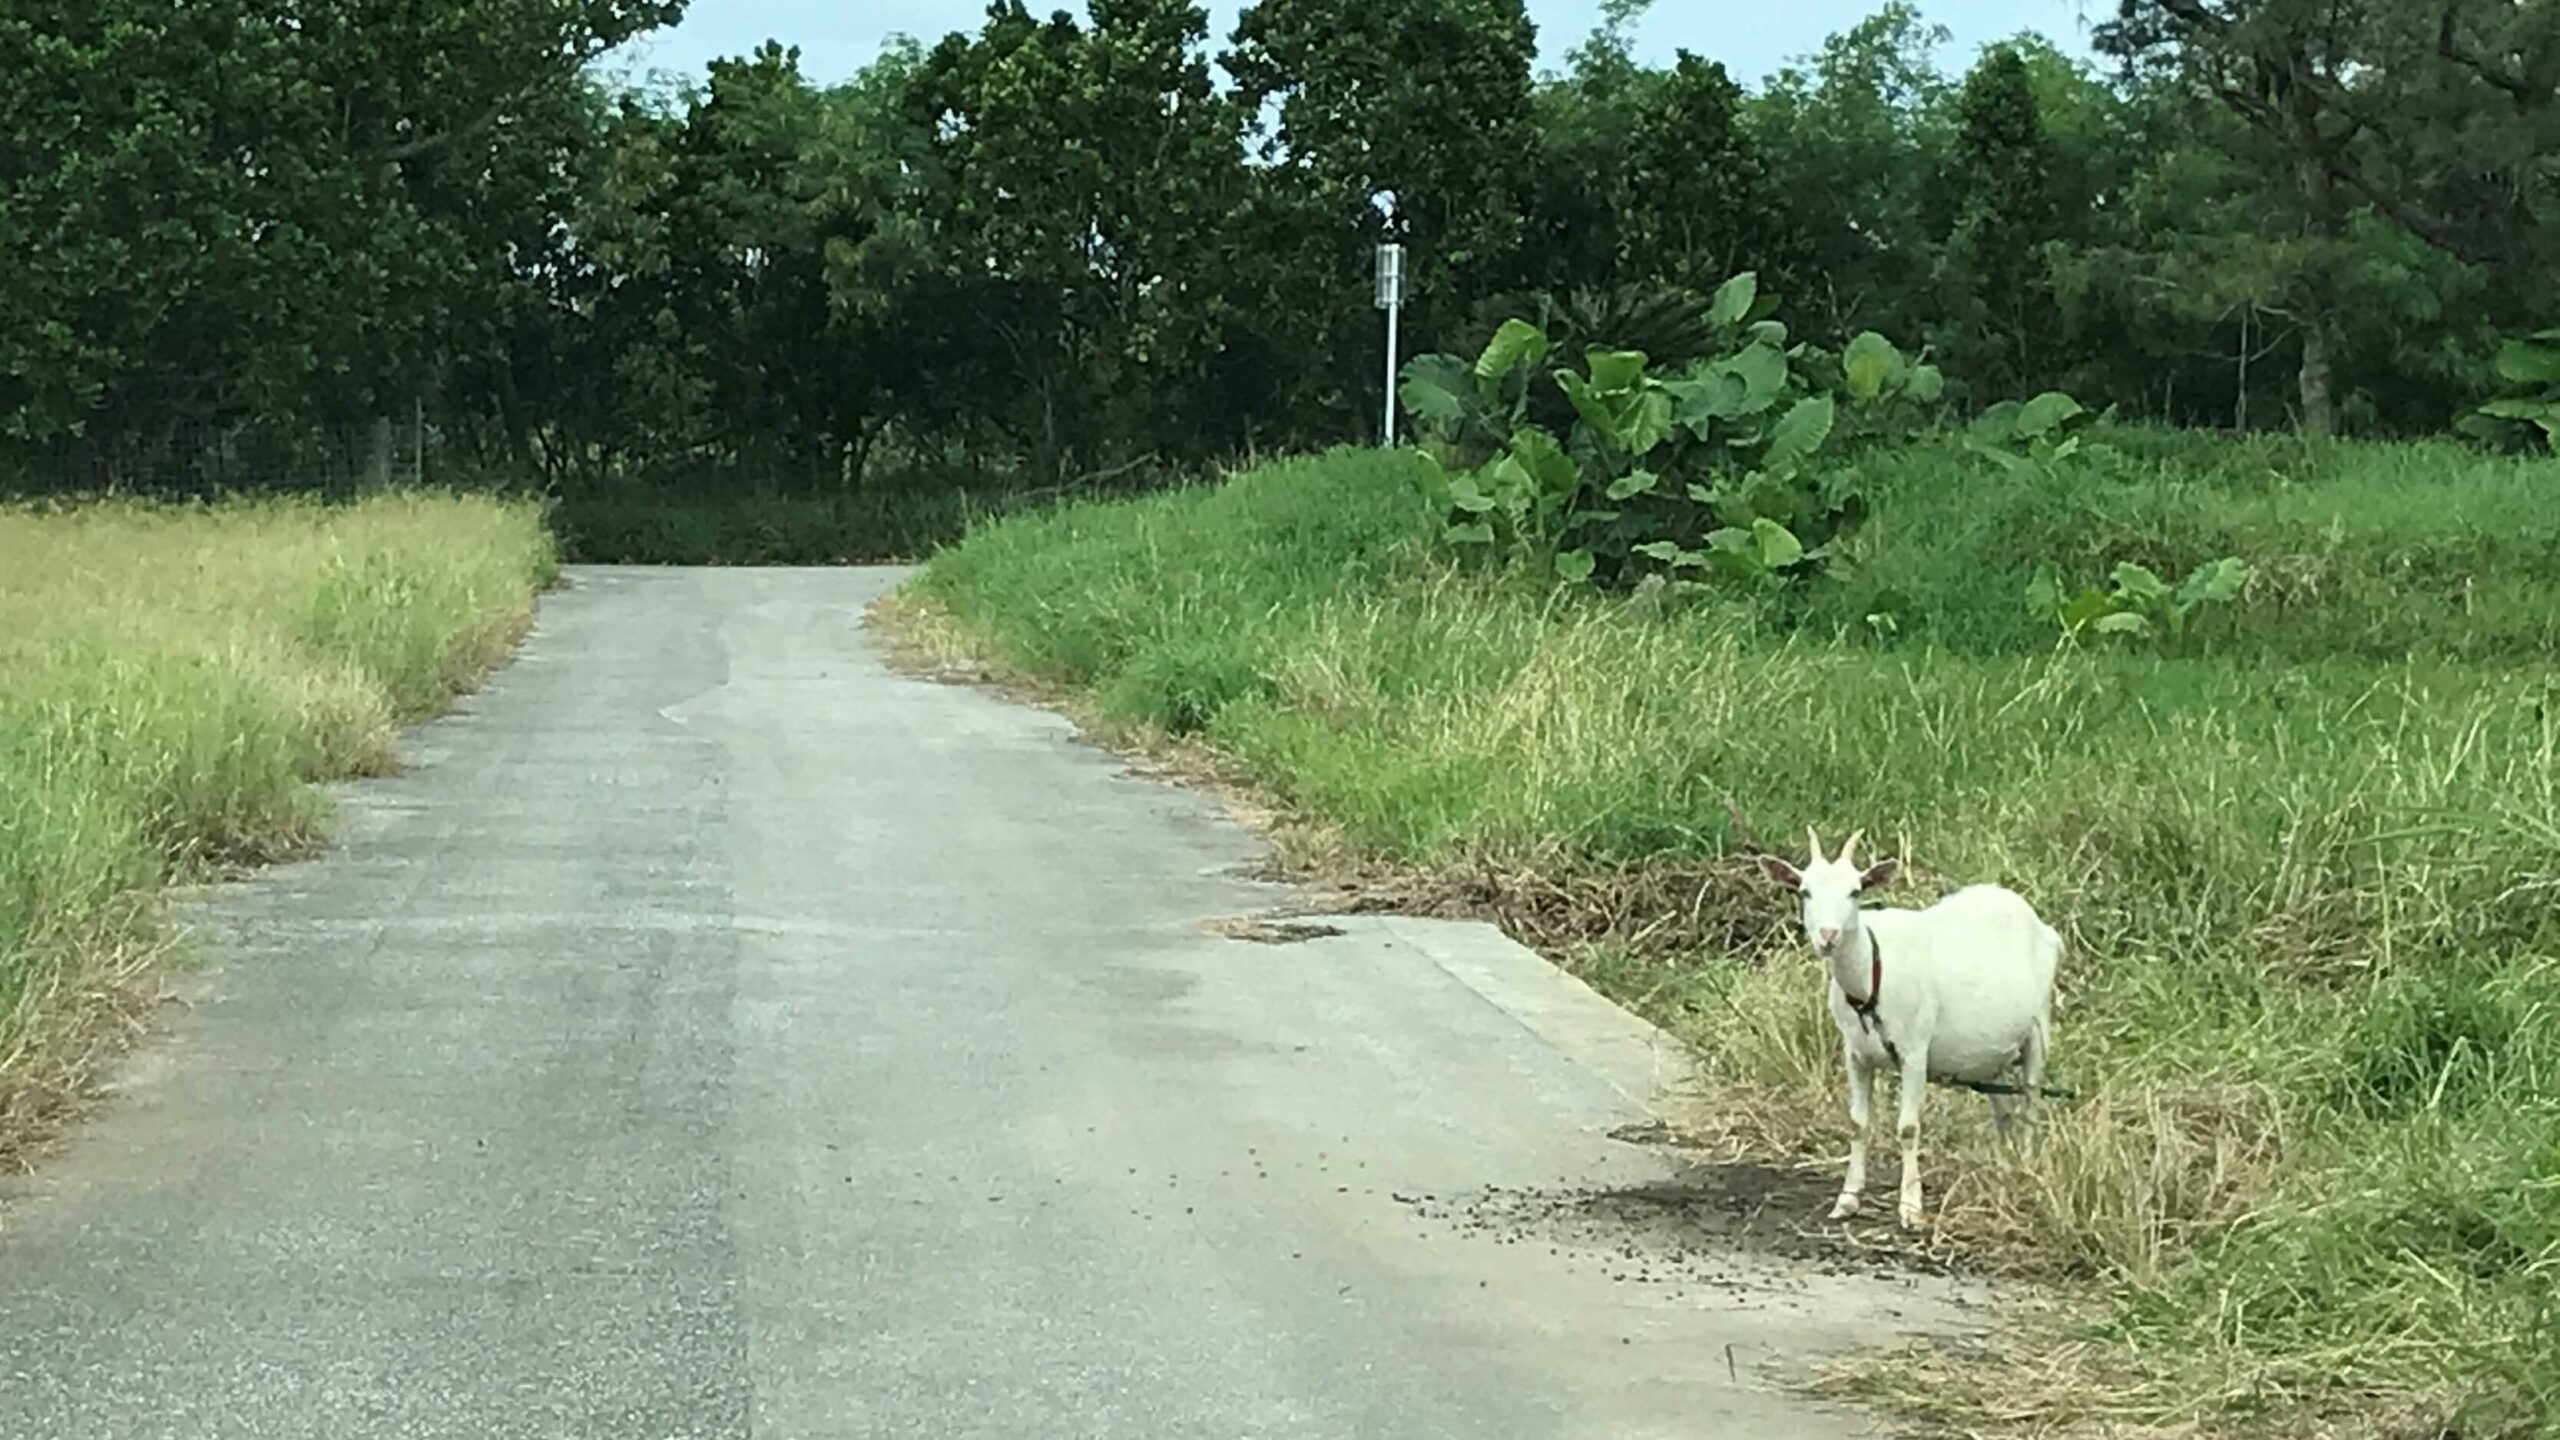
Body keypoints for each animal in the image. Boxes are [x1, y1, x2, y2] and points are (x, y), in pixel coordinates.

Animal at [1761, 830, 2058, 1219]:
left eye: (1855, 891)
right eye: (1804, 891)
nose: (1827, 936)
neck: (1871, 976)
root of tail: (2042, 926)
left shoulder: (1915, 1052)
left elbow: (1907, 1127)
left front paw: (1911, 1207)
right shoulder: (1855, 1055)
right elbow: (1857, 1123)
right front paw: (1847, 1198)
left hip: (2039, 1030)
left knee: (2032, 1099)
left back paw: (2024, 1164)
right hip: (1990, 1055)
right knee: (2006, 1111)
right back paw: (2005, 1167)